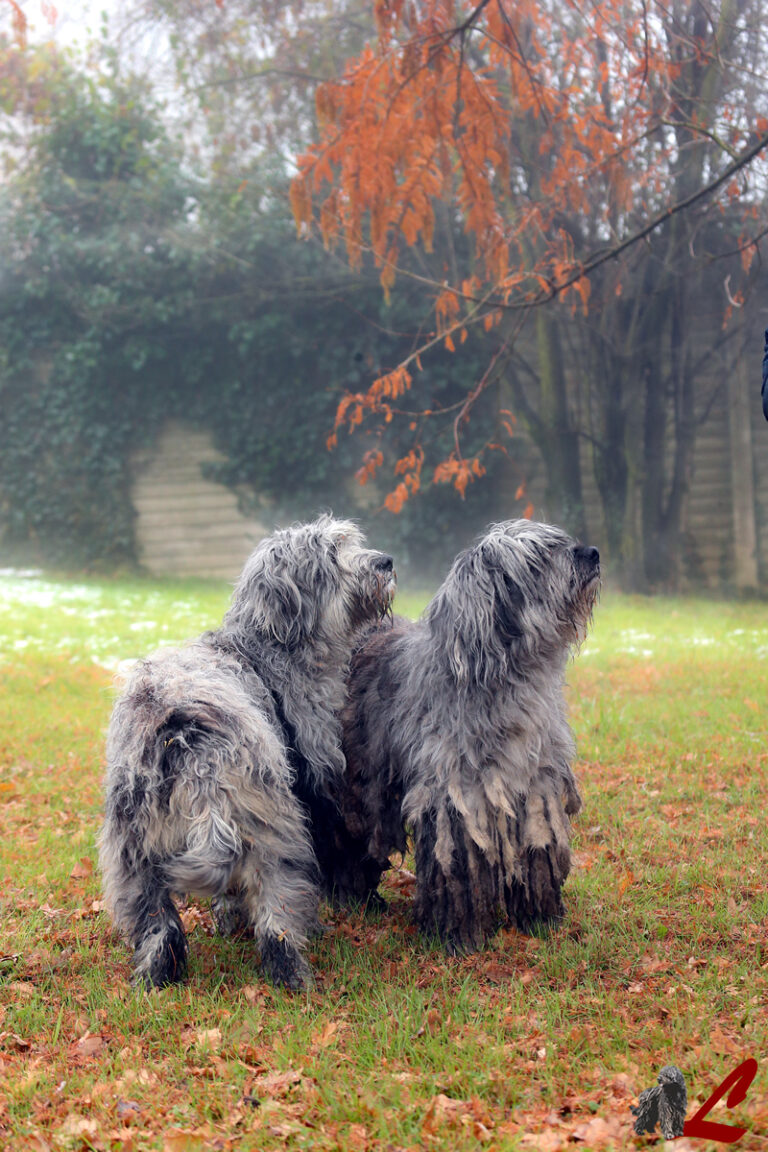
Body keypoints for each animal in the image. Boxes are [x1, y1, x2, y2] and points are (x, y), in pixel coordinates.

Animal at [98, 516, 393, 990]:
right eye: (331, 554)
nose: (385, 562)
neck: (263, 648)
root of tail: (187, 741)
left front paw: (227, 919)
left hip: (133, 852)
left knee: (159, 926)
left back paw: (154, 978)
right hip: (274, 826)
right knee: (277, 916)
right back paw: (293, 975)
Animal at [338, 523, 598, 953]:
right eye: (537, 558)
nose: (592, 553)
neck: (504, 684)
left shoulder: (535, 787)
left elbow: (537, 854)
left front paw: (539, 917)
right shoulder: (455, 796)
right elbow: (458, 869)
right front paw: (458, 933)